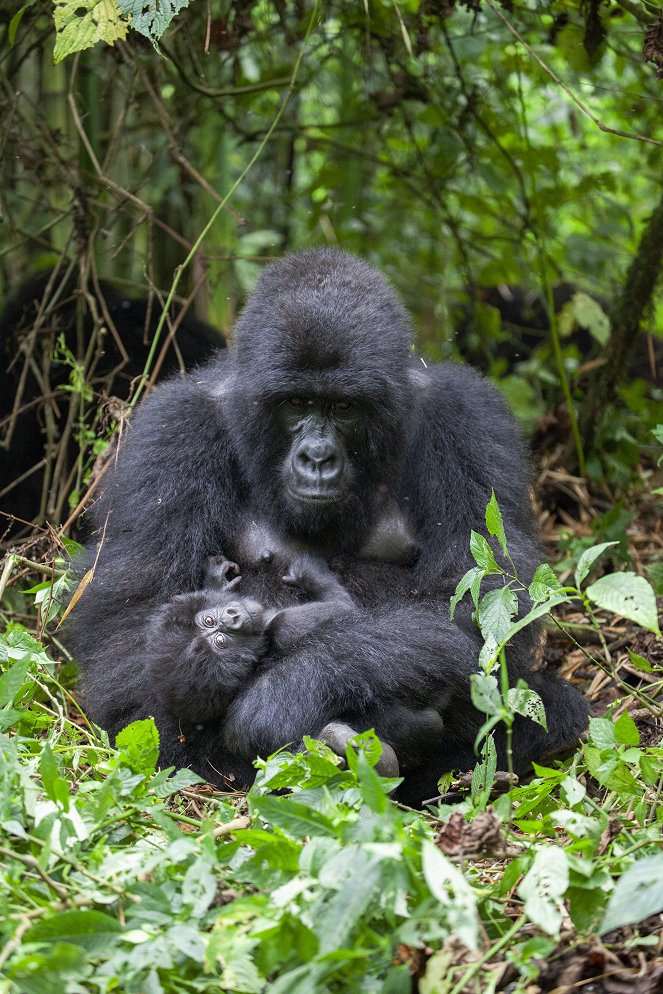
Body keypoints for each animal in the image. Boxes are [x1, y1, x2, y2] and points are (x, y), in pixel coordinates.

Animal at [148, 552, 444, 776]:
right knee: (427, 724)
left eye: (209, 620)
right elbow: (345, 609)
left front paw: (216, 583)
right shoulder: (286, 626)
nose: (233, 617)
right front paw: (312, 575)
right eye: (221, 642)